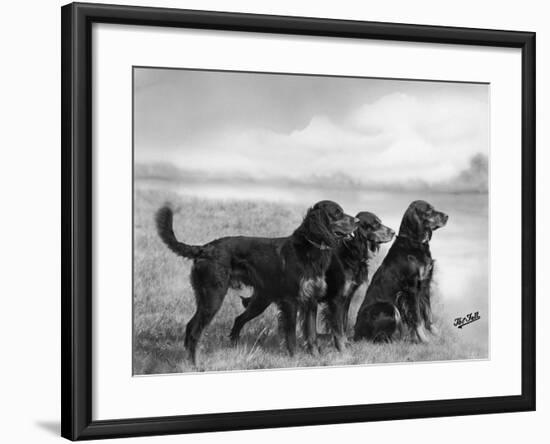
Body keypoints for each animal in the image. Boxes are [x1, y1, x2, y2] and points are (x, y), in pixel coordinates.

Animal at [155, 201, 358, 364]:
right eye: (337, 213)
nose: (356, 221)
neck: (309, 249)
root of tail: (204, 249)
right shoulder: (291, 301)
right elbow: (291, 335)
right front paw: (295, 358)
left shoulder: (311, 301)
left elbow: (312, 334)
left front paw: (316, 358)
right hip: (213, 297)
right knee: (195, 330)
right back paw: (195, 364)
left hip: (253, 300)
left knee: (222, 322)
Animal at [235, 210, 394, 352]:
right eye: (375, 224)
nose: (393, 232)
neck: (349, 252)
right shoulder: (336, 300)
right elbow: (338, 327)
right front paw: (342, 349)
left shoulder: (346, 298)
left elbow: (343, 323)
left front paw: (344, 344)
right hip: (263, 300)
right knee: (240, 319)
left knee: (240, 318)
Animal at [354, 201, 448, 344]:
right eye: (429, 211)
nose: (447, 216)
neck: (415, 243)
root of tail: (356, 333)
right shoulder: (412, 288)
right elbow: (417, 318)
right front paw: (424, 340)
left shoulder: (425, 284)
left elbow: (428, 314)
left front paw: (436, 335)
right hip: (389, 307)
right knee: (379, 338)